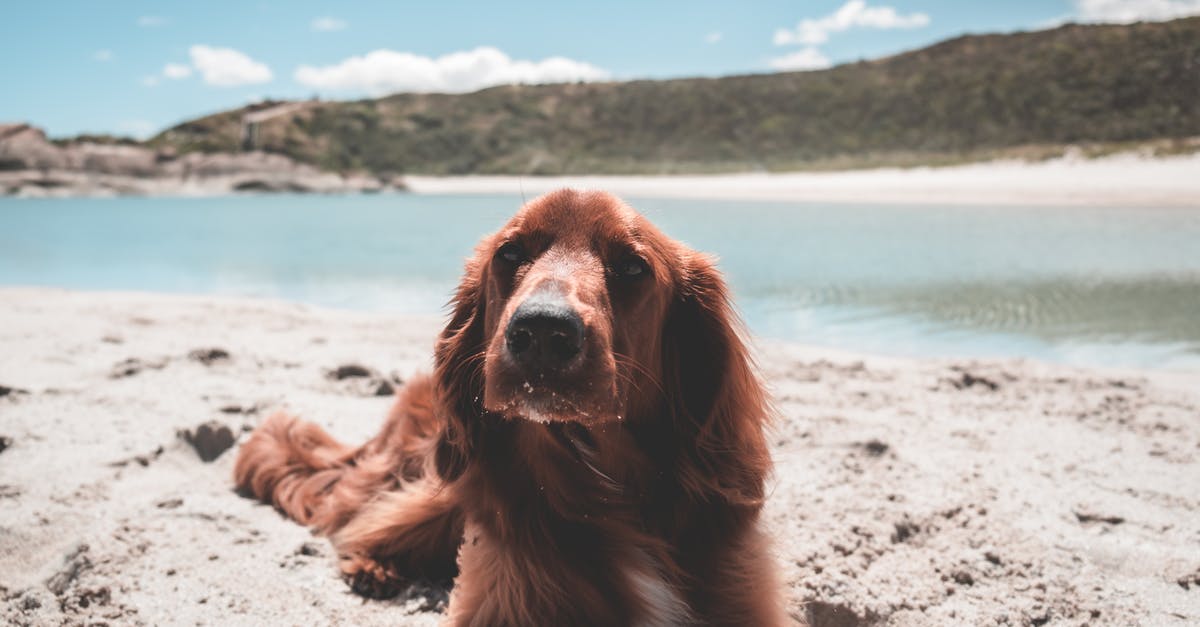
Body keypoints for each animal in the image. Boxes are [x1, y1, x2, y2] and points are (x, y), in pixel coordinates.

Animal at [234, 189, 787, 624]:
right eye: (510, 252)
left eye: (633, 266)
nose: (542, 330)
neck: (607, 482)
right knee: (362, 518)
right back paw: (373, 566)